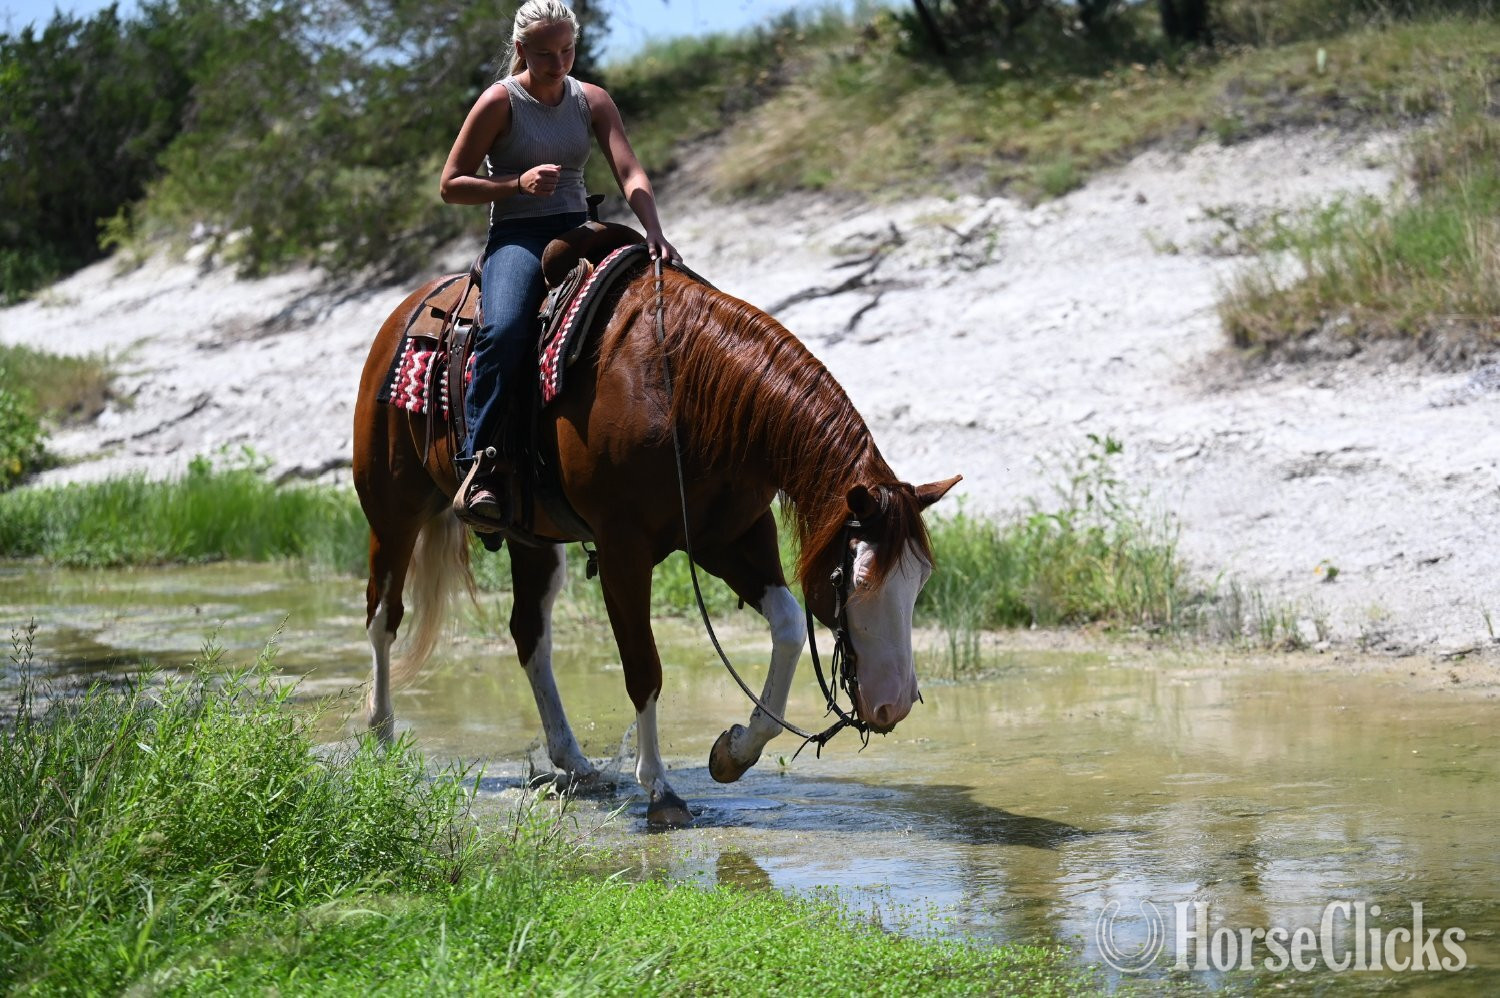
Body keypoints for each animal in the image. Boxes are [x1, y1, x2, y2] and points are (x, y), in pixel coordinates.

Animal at [352, 255, 960, 826]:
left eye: (919, 583)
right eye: (853, 580)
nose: (894, 705)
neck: (682, 389)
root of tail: (409, 309)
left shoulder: (732, 537)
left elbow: (788, 626)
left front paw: (735, 751)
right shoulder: (624, 550)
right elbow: (643, 666)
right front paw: (662, 792)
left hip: (531, 539)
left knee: (529, 634)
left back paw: (574, 762)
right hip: (394, 511)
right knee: (384, 616)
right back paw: (380, 740)